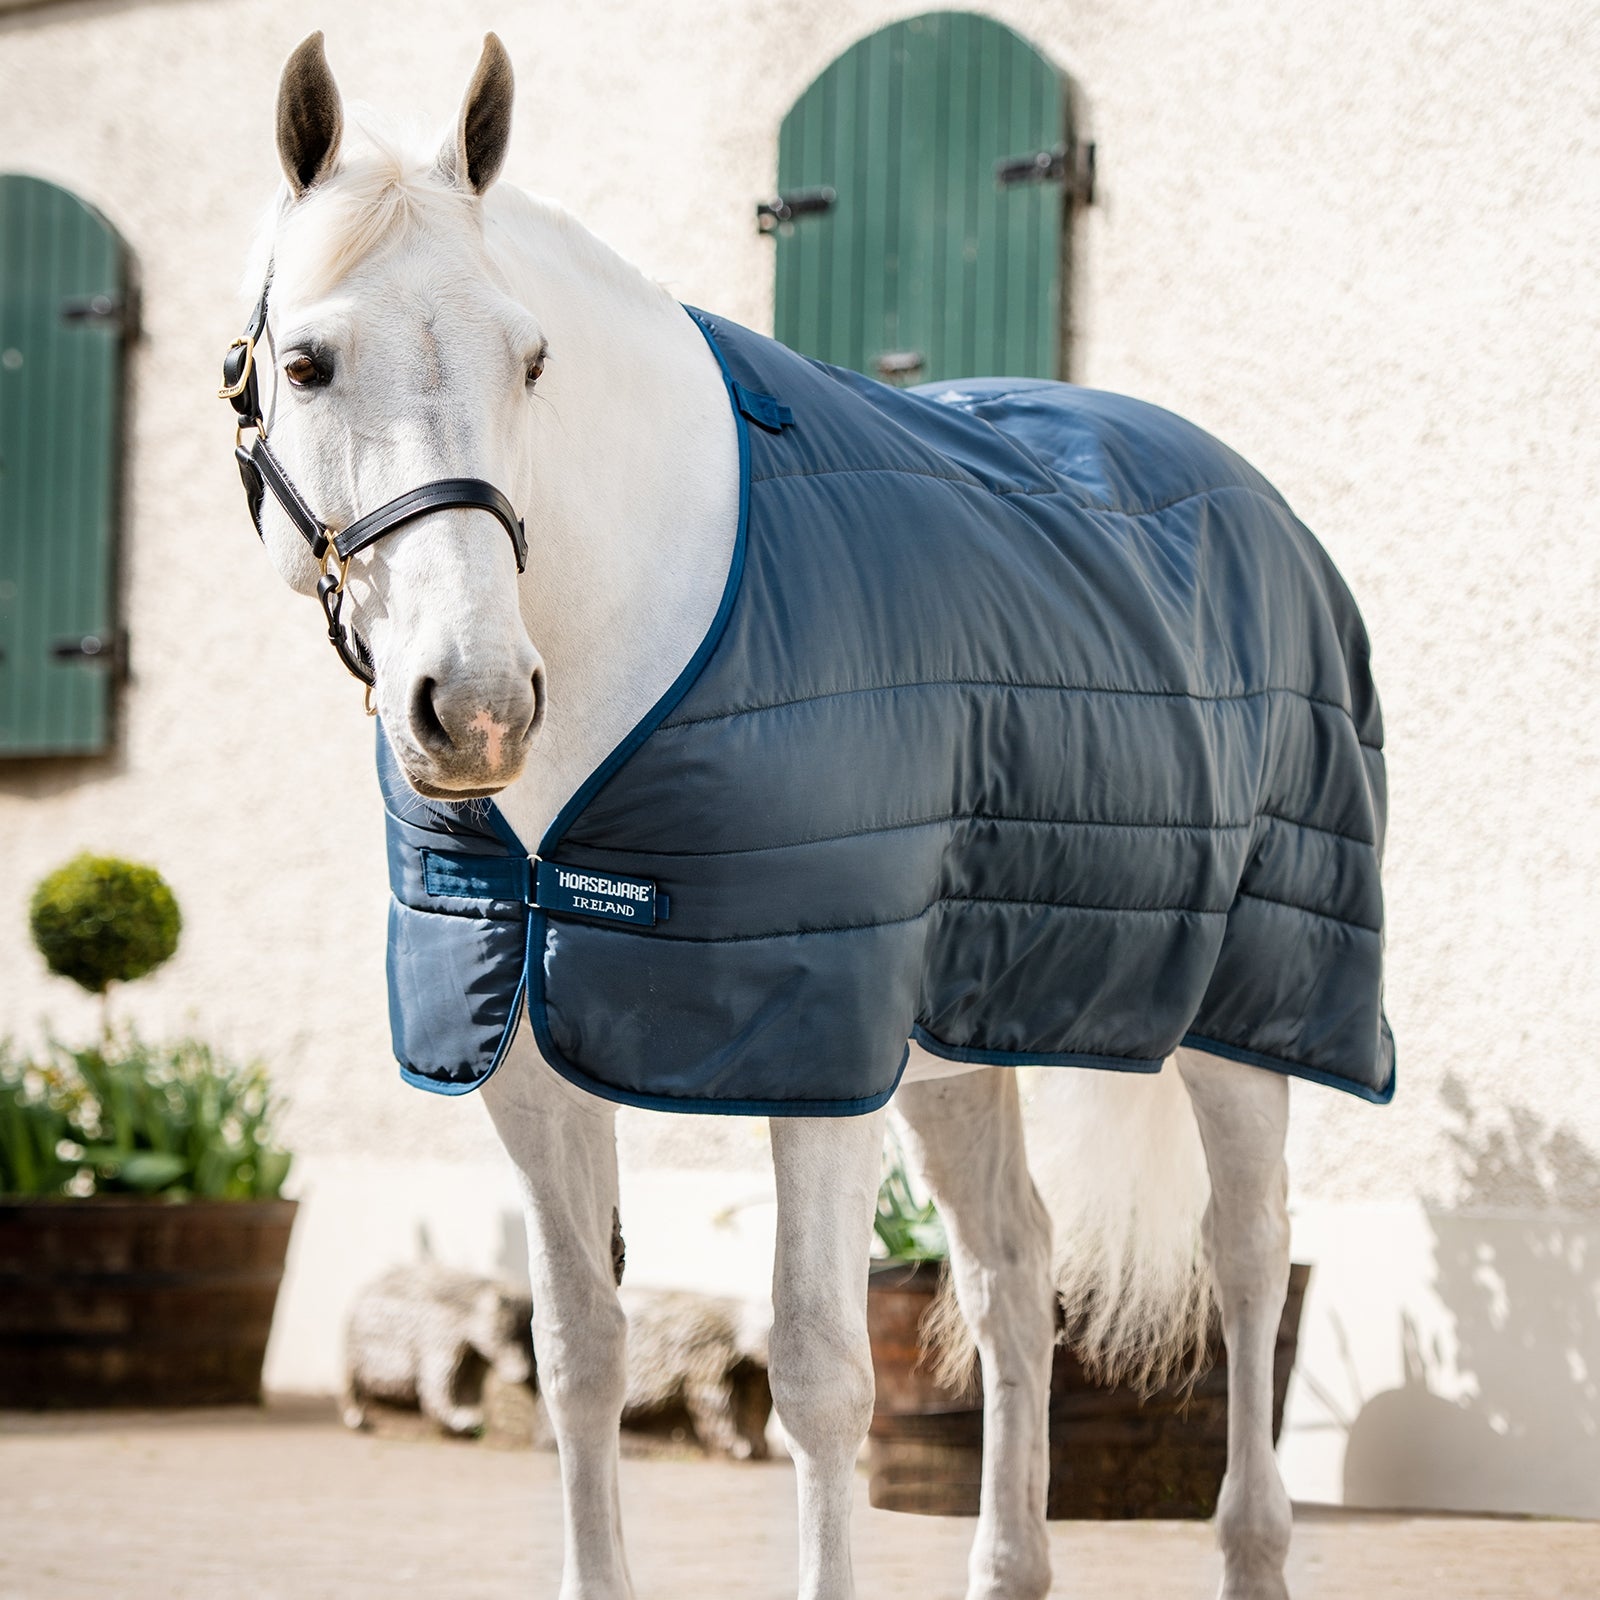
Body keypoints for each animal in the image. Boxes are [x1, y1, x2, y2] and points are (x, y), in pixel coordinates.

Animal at [230, 33, 1391, 1600]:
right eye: (307, 362)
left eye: (531, 358)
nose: (474, 707)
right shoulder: (531, 1060)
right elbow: (577, 1361)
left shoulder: (811, 1049)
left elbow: (824, 1379)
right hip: (962, 1044)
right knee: (1015, 1272)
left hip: (1247, 1014)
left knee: (1249, 1258)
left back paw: (1252, 1541)